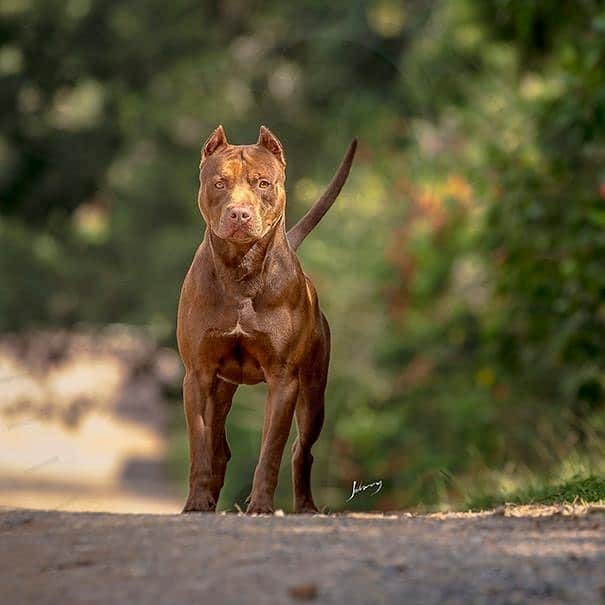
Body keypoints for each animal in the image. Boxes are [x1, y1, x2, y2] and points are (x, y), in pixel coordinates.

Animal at [176, 125, 354, 512]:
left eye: (262, 183)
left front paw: (260, 504)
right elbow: (199, 444)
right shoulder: (197, 375)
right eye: (219, 183)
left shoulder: (283, 380)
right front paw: (196, 501)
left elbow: (271, 450)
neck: (241, 271)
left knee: (302, 450)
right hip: (220, 388)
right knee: (218, 445)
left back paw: (305, 506)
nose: (239, 214)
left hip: (314, 395)